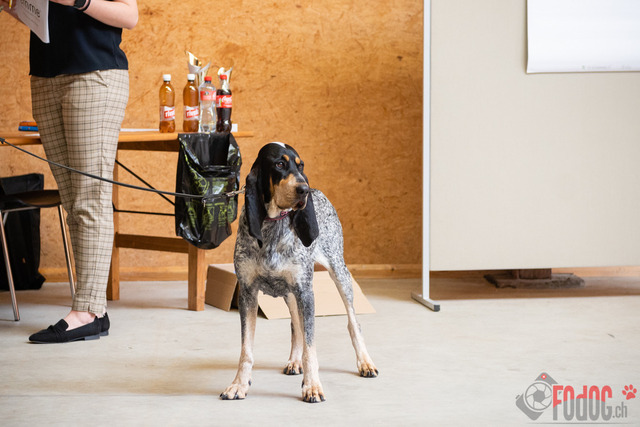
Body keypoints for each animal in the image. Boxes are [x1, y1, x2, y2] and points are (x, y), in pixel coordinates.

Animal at [220, 142, 378, 403]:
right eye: (279, 164)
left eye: (300, 165)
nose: (303, 190)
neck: (272, 226)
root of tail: (318, 190)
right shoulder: (248, 294)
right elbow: (246, 350)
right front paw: (239, 384)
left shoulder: (306, 292)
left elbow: (311, 347)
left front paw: (312, 386)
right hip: (290, 293)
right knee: (296, 324)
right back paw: (294, 361)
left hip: (339, 274)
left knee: (352, 322)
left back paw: (365, 363)